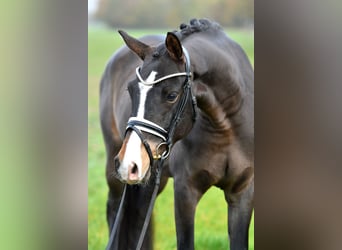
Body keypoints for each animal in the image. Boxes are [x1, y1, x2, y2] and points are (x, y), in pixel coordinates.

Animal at [100, 18, 252, 249]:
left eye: (171, 95)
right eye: (131, 90)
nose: (128, 163)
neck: (225, 129)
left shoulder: (242, 193)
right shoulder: (185, 192)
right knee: (115, 212)